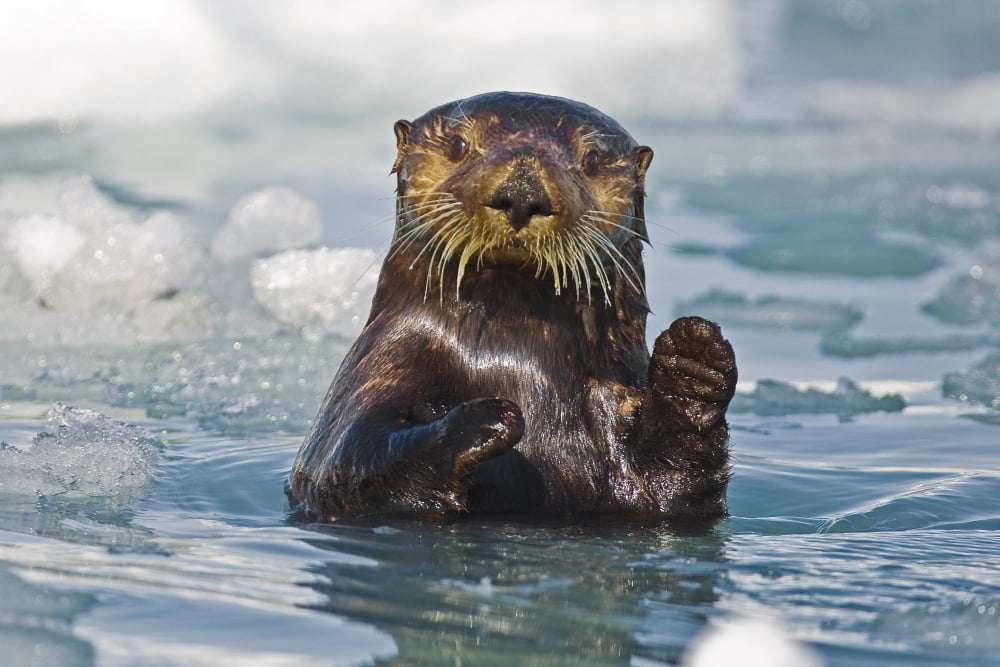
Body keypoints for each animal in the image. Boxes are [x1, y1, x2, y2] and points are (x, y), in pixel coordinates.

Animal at [287, 92, 737, 521]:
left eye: (591, 159)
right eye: (458, 143)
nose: (522, 193)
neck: (513, 358)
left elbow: (671, 487)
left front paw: (693, 362)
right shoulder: (375, 374)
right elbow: (342, 470)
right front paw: (489, 418)